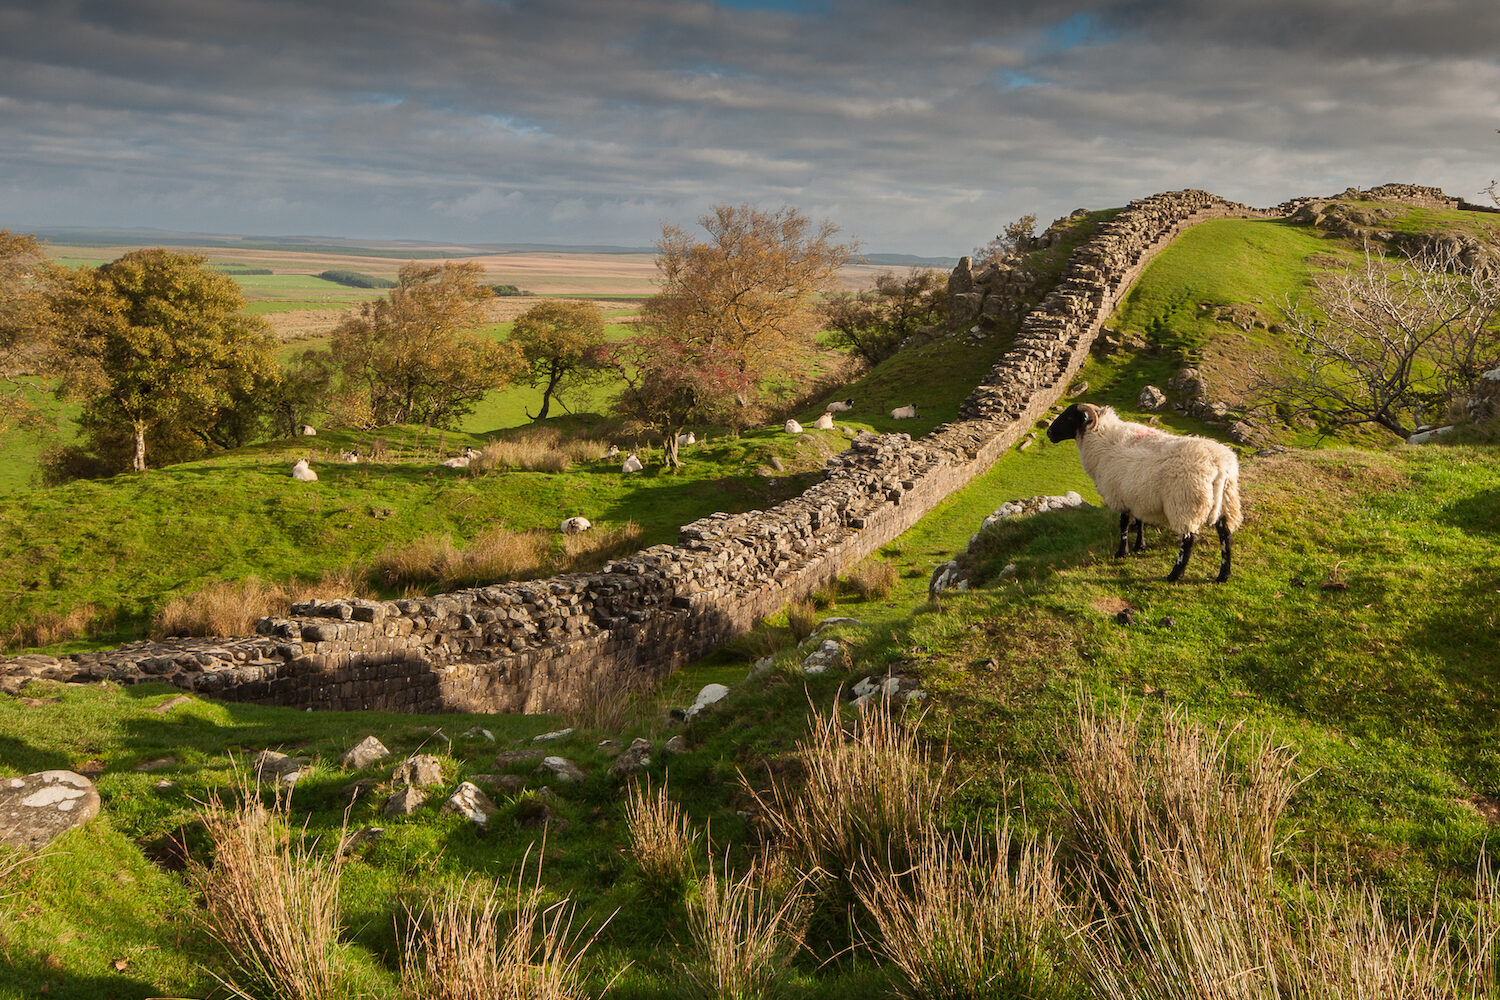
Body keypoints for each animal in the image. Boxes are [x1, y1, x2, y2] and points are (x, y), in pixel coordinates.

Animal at [1044, 401, 1242, 581]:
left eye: (1069, 417)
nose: (1049, 433)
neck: (1101, 440)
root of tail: (1219, 465)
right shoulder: (1137, 495)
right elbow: (1140, 522)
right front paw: (1140, 546)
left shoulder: (1120, 496)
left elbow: (1123, 525)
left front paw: (1121, 552)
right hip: (1227, 501)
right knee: (1226, 536)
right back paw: (1224, 575)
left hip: (1185, 502)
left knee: (1188, 540)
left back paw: (1175, 574)